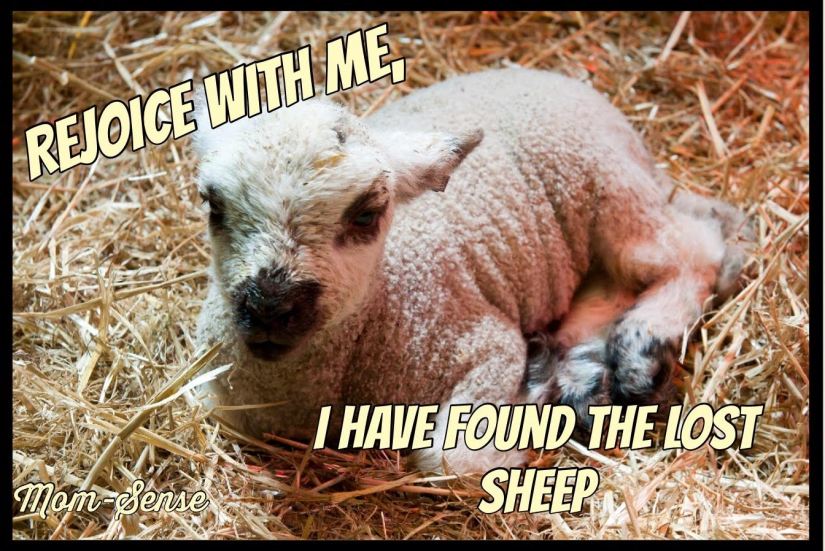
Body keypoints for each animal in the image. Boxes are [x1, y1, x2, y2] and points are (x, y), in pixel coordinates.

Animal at [190, 67, 751, 475]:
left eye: (368, 214)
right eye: (213, 204)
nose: (269, 307)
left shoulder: (483, 346)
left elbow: (454, 459)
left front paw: (531, 395)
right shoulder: (212, 391)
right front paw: (550, 375)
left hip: (611, 189)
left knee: (692, 248)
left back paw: (640, 349)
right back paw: (580, 370)